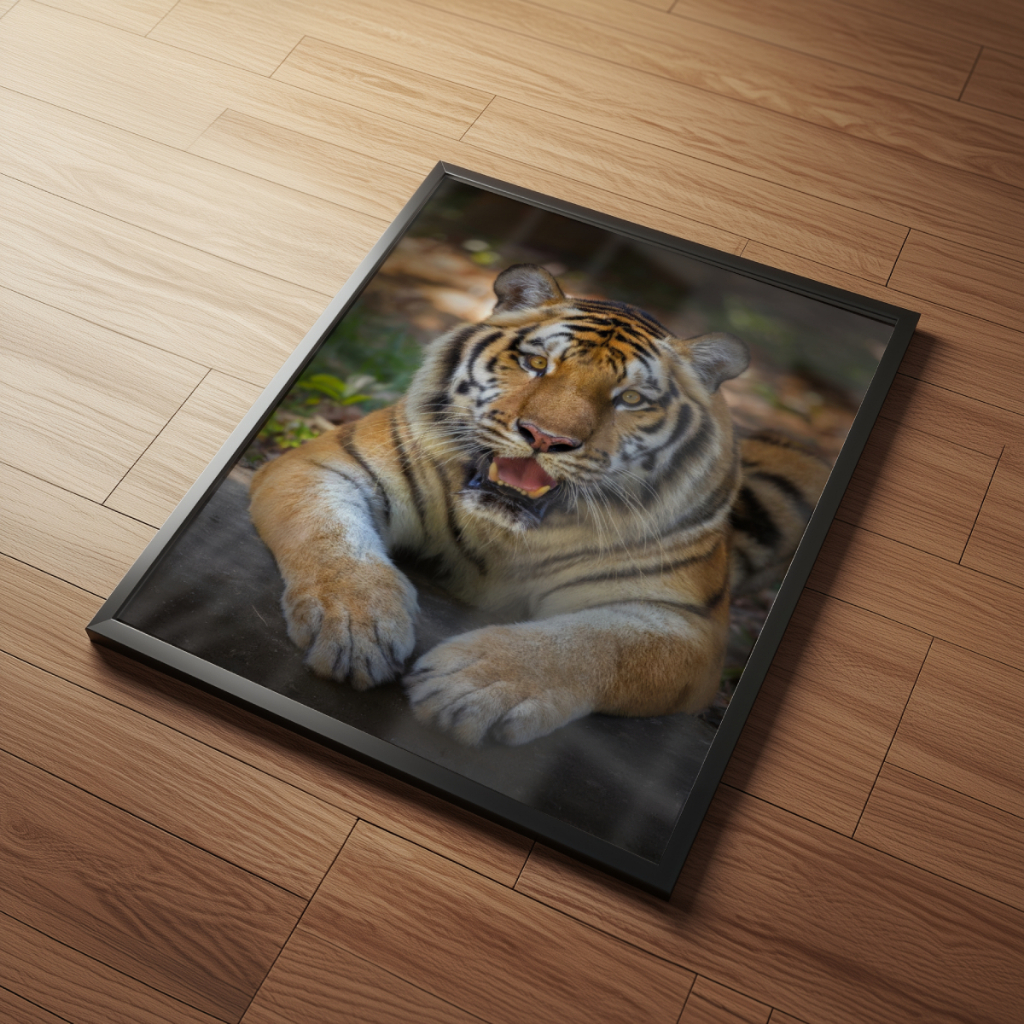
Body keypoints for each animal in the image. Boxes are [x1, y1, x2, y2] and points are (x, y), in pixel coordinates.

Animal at [249, 264, 829, 746]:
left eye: (630, 399)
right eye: (535, 363)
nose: (546, 438)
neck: (506, 532)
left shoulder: (685, 623)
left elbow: (598, 645)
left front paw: (474, 683)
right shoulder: (327, 466)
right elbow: (332, 541)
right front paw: (355, 626)